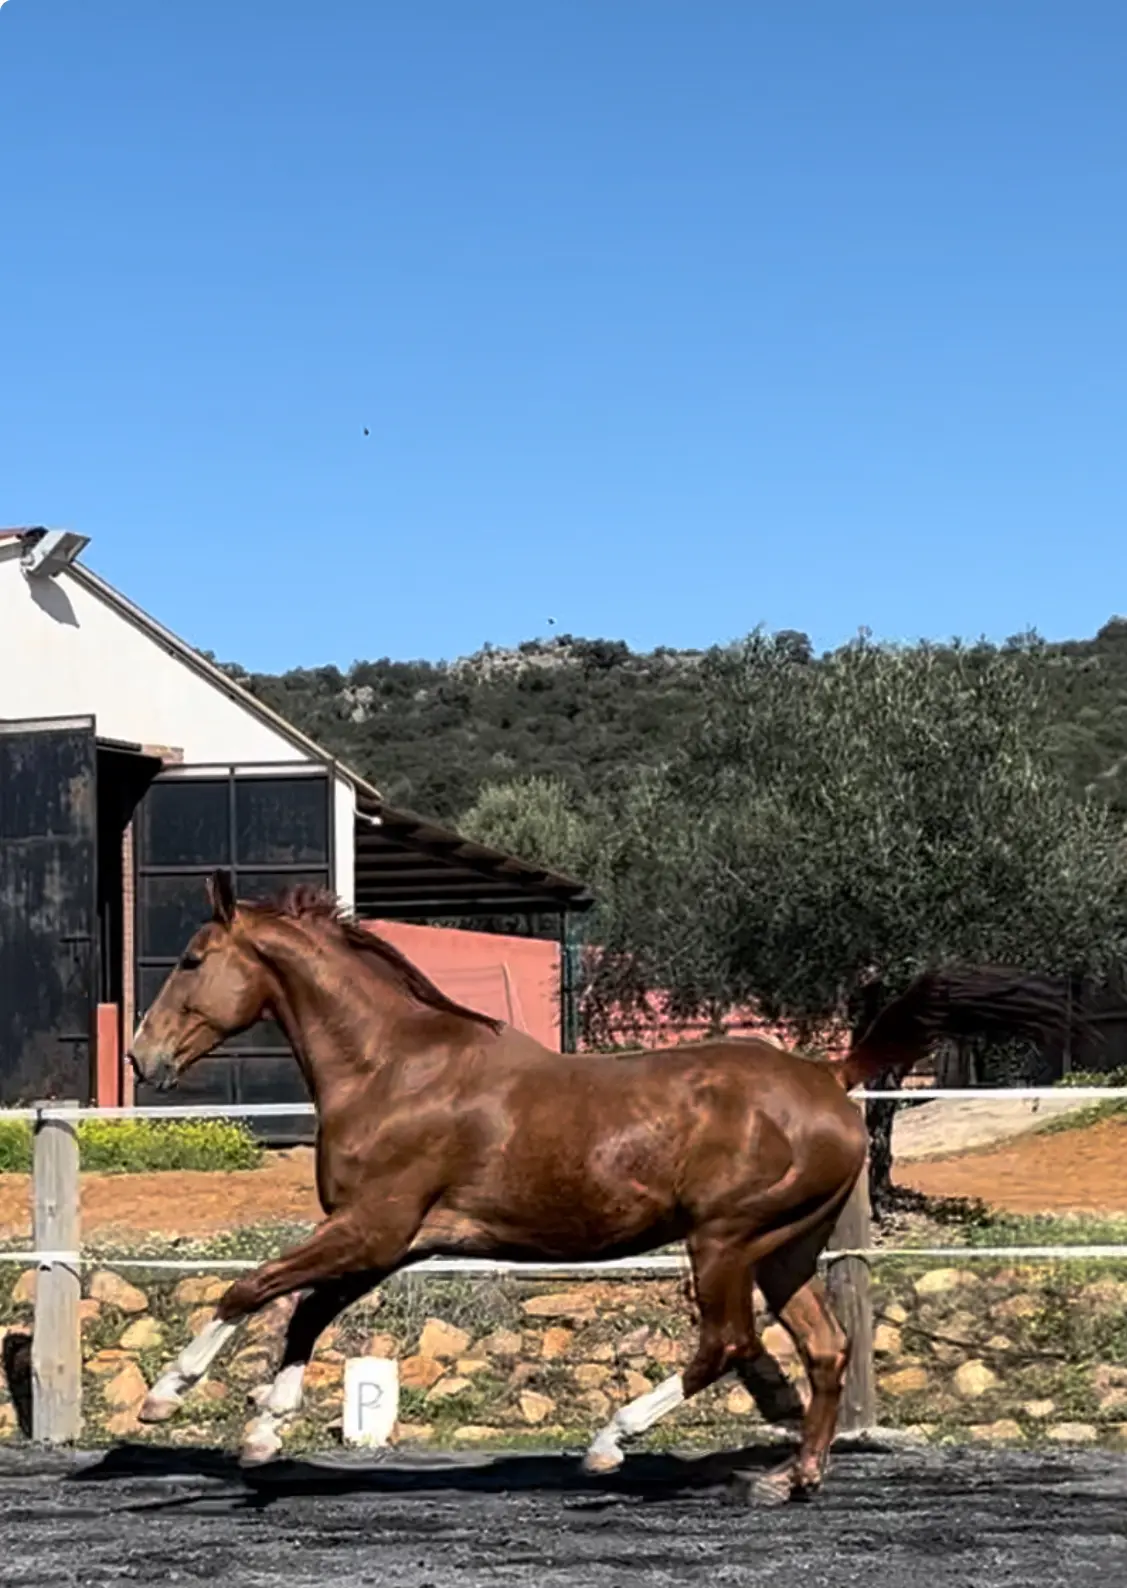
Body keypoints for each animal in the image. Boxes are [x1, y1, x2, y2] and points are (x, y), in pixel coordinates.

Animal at [128, 870, 1070, 1502]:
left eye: (191, 958)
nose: (143, 1057)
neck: (394, 1068)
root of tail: (831, 1077)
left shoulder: (375, 1226)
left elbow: (253, 1289)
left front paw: (167, 1396)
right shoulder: (394, 1240)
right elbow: (306, 1310)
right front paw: (262, 1429)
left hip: (723, 1240)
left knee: (726, 1343)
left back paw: (610, 1441)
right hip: (784, 1248)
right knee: (824, 1349)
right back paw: (789, 1475)